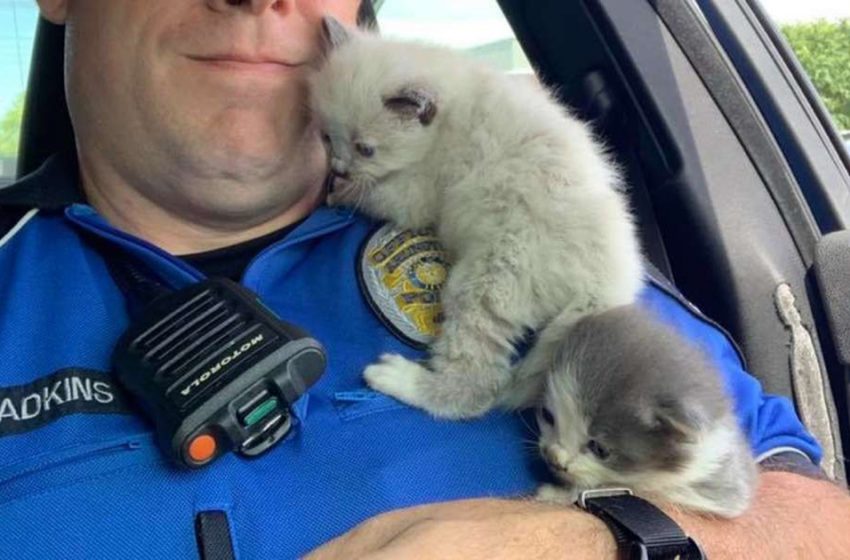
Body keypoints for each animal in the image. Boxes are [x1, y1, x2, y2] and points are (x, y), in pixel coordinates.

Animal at [312, 17, 644, 418]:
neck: (446, 120)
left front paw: (342, 192)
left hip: (487, 280)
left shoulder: (420, 192)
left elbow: (379, 193)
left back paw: (400, 379)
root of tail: (607, 286)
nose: (338, 168)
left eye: (366, 149)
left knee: (478, 386)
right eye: (327, 136)